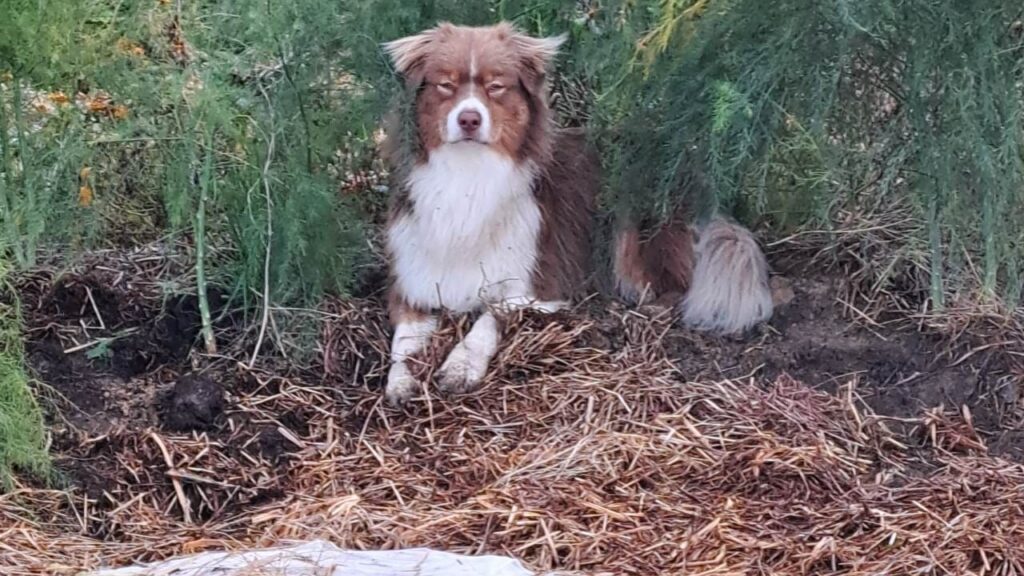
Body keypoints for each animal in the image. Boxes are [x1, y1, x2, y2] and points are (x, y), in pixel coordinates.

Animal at [380, 22, 770, 403]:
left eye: (496, 87)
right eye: (445, 85)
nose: (470, 119)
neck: (469, 175)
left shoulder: (541, 286)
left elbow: (489, 318)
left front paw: (461, 366)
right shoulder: (412, 284)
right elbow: (402, 344)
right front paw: (400, 382)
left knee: (675, 286)